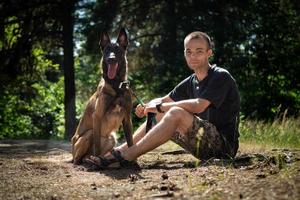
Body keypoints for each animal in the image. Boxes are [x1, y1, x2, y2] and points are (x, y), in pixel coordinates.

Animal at [71, 28, 133, 166]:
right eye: (107, 51)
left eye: (117, 50)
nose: (111, 59)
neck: (116, 85)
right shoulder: (97, 116)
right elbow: (97, 146)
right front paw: (98, 159)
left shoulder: (127, 117)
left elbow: (131, 141)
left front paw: (134, 158)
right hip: (89, 134)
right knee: (79, 159)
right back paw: (94, 161)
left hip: (112, 138)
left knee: (87, 155)